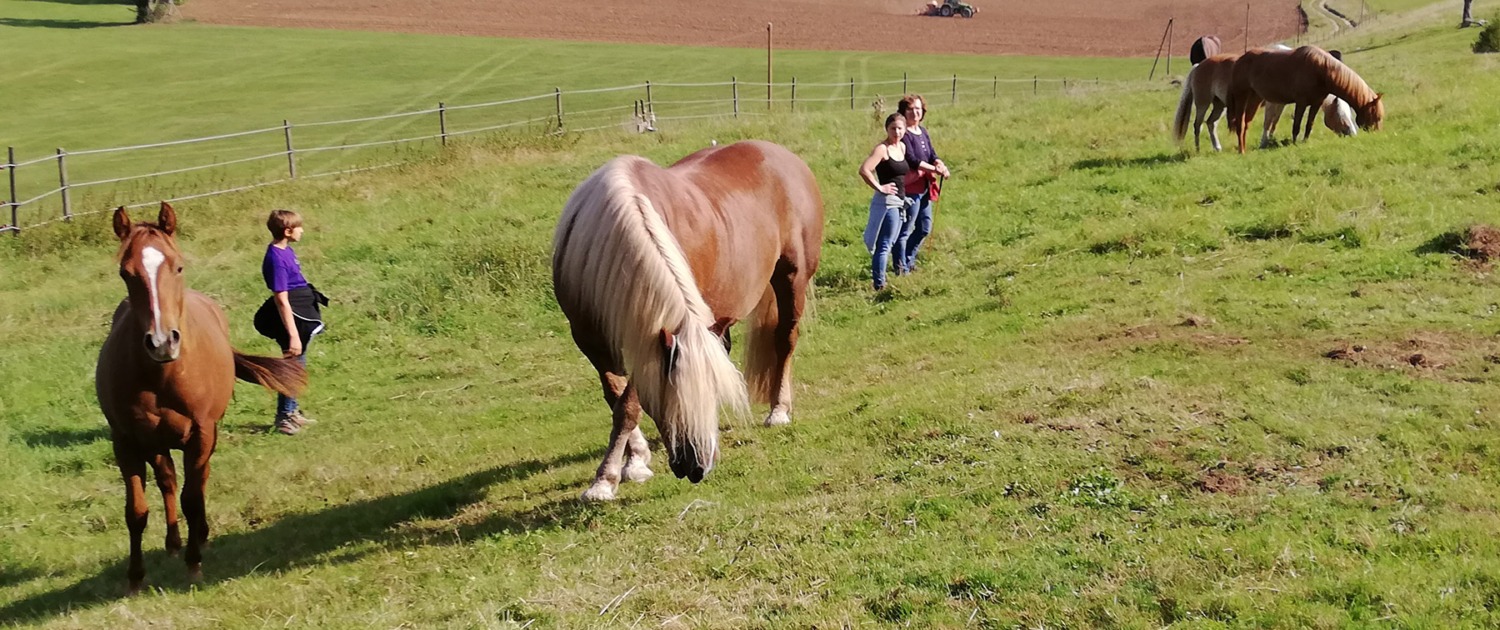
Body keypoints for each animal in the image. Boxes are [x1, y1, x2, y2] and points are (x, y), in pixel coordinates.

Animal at [96, 202, 304, 597]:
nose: (162, 342)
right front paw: (135, 578)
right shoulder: (126, 442)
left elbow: (193, 498)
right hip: (156, 442)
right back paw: (174, 543)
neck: (162, 375)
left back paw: (199, 538)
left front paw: (194, 565)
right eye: (125, 273)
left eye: (177, 266)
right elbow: (137, 511)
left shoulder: (201, 433)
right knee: (167, 480)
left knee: (198, 480)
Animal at [555, 138, 828, 501]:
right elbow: (617, 400)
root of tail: (783, 155)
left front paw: (608, 477)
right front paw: (630, 463)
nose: (698, 467)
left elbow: (628, 404)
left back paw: (779, 409)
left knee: (784, 341)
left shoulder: (648, 340)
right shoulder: (592, 341)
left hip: (791, 279)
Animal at [1230, 45, 1380, 153]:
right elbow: (1296, 125)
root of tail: (1240, 59)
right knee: (1242, 124)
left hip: (1254, 99)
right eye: (1375, 116)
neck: (1321, 70)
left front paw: (1305, 141)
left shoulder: (1316, 103)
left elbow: (1309, 124)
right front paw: (1294, 143)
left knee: (1247, 123)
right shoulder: (1301, 103)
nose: (1353, 134)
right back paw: (1242, 151)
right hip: (1242, 98)